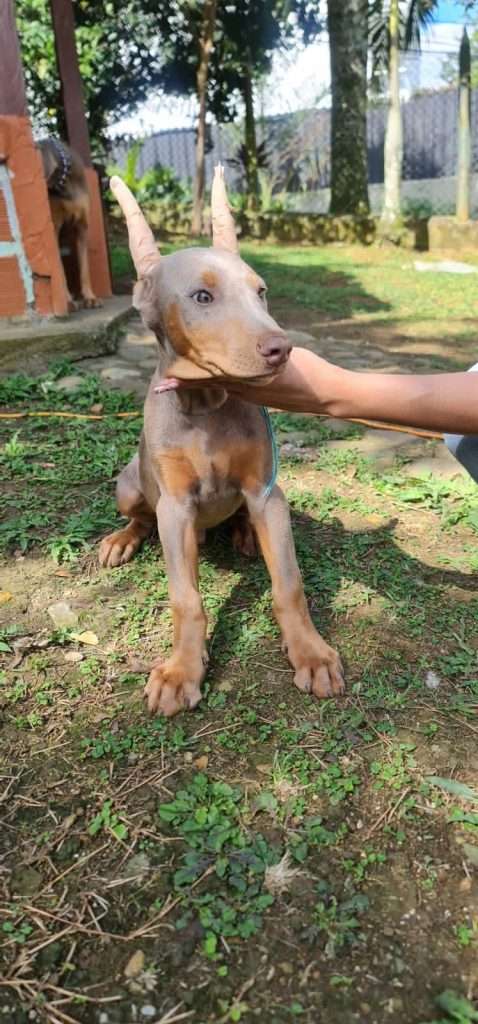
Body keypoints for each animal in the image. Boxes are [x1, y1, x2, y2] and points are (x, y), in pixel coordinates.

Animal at [38, 138, 100, 309]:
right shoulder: (54, 229)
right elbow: (59, 270)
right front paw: (67, 300)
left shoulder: (82, 227)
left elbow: (84, 268)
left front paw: (90, 297)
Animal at [100, 165, 343, 720]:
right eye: (202, 297)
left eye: (261, 291)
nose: (281, 349)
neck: (206, 406)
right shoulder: (175, 508)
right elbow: (186, 598)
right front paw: (181, 671)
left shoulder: (266, 492)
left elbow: (289, 583)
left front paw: (311, 653)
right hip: (129, 485)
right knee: (139, 515)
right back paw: (122, 539)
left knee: (244, 521)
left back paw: (246, 534)